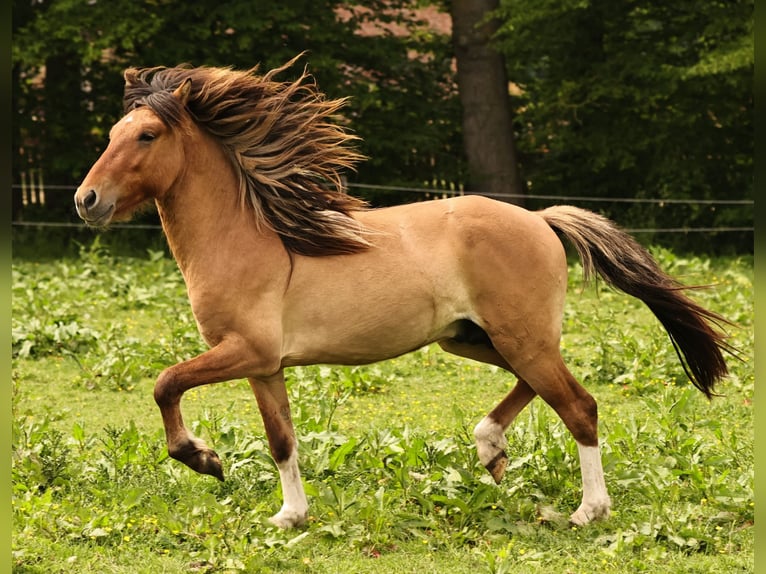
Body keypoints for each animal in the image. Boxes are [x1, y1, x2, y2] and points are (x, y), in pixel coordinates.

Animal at [74, 56, 734, 529]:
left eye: (147, 135)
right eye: (111, 132)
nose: (87, 200)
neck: (249, 238)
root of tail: (541, 220)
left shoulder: (245, 351)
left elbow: (165, 384)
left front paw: (203, 458)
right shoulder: (264, 366)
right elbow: (282, 438)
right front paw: (291, 516)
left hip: (516, 336)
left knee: (578, 405)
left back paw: (587, 511)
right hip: (474, 339)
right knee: (540, 388)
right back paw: (490, 449)